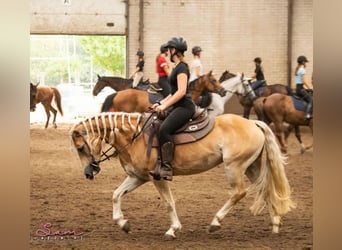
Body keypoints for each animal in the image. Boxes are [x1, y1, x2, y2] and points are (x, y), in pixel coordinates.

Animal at [69, 111, 294, 238]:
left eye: (80, 148)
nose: (88, 172)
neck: (135, 136)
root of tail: (253, 123)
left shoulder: (157, 177)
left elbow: (169, 202)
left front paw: (173, 229)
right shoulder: (138, 177)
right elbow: (116, 194)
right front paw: (122, 223)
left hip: (234, 167)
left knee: (238, 193)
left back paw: (215, 222)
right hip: (251, 167)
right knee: (266, 190)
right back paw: (275, 224)